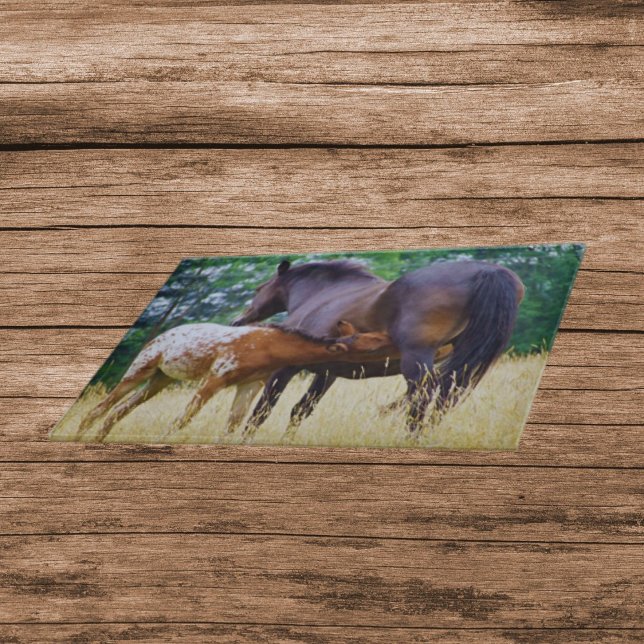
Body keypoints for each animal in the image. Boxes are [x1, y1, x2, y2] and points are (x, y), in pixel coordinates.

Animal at [77, 320, 396, 443]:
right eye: (372, 343)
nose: (394, 337)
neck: (267, 348)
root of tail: (162, 336)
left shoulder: (249, 384)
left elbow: (233, 423)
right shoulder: (217, 377)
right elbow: (184, 419)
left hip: (161, 379)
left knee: (118, 411)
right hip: (142, 368)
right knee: (101, 407)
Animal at [232, 258, 524, 434]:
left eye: (258, 289)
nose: (238, 320)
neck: (322, 296)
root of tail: (488, 271)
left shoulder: (287, 367)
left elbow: (261, 410)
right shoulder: (327, 373)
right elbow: (300, 410)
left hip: (416, 359)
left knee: (422, 396)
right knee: (446, 396)